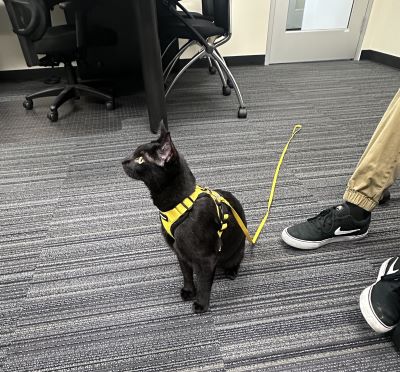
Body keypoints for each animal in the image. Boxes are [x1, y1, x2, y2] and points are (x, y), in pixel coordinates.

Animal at [122, 126, 247, 312]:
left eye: (140, 159)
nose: (123, 161)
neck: (179, 204)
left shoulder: (207, 258)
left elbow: (203, 283)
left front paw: (201, 304)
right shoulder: (179, 252)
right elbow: (186, 274)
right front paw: (188, 291)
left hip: (236, 251)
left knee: (236, 260)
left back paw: (231, 271)